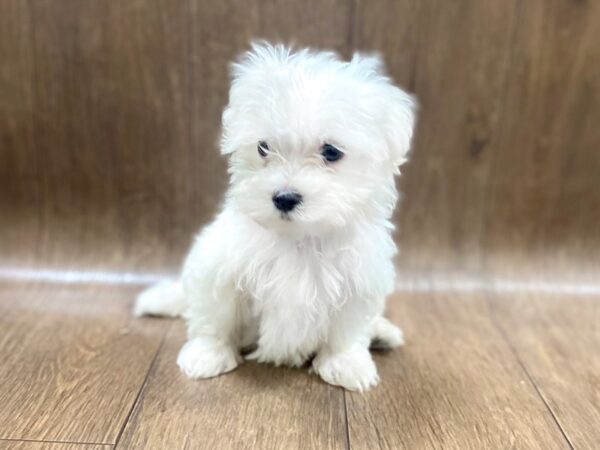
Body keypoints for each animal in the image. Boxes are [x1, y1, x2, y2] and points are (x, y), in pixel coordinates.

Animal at [135, 44, 418, 392]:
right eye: (263, 147)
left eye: (331, 152)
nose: (284, 197)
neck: (300, 238)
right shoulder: (218, 267)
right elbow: (216, 316)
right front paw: (208, 354)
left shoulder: (359, 281)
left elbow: (347, 330)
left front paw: (346, 363)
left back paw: (382, 333)